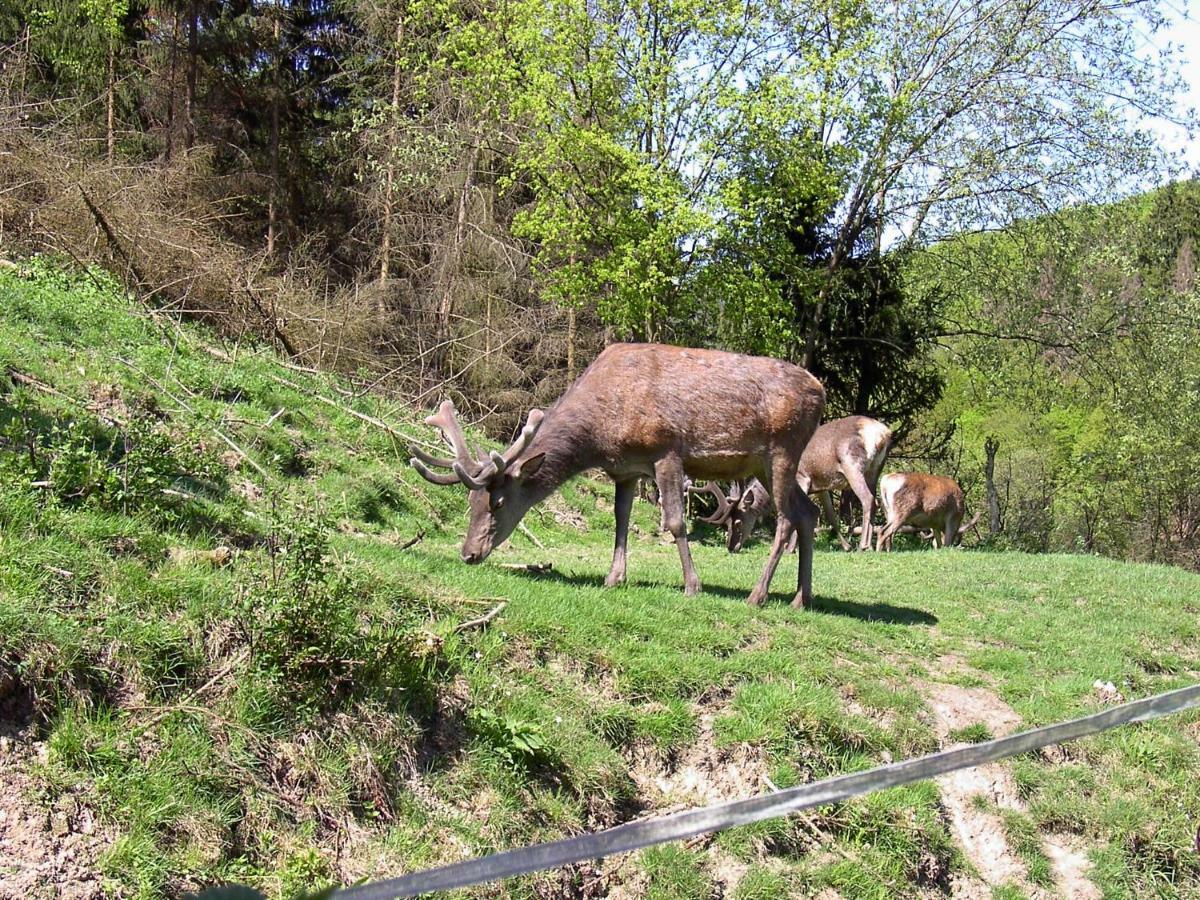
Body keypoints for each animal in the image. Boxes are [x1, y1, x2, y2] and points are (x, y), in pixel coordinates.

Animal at [410, 340, 825, 609]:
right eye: (471, 500)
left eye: (497, 501)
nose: (469, 553)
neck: (600, 433)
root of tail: (820, 391)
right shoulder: (624, 469)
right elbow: (620, 519)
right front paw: (614, 578)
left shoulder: (666, 450)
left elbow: (675, 521)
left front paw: (692, 586)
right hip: (766, 465)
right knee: (809, 512)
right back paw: (800, 598)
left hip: (782, 451)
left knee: (786, 518)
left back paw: (758, 595)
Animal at [696, 420, 892, 554]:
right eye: (727, 523)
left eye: (738, 522)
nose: (730, 547)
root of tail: (883, 433)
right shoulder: (822, 487)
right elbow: (831, 516)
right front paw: (846, 546)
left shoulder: (802, 478)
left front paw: (789, 548)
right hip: (875, 470)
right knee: (874, 500)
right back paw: (870, 546)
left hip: (852, 466)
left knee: (868, 500)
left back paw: (864, 545)